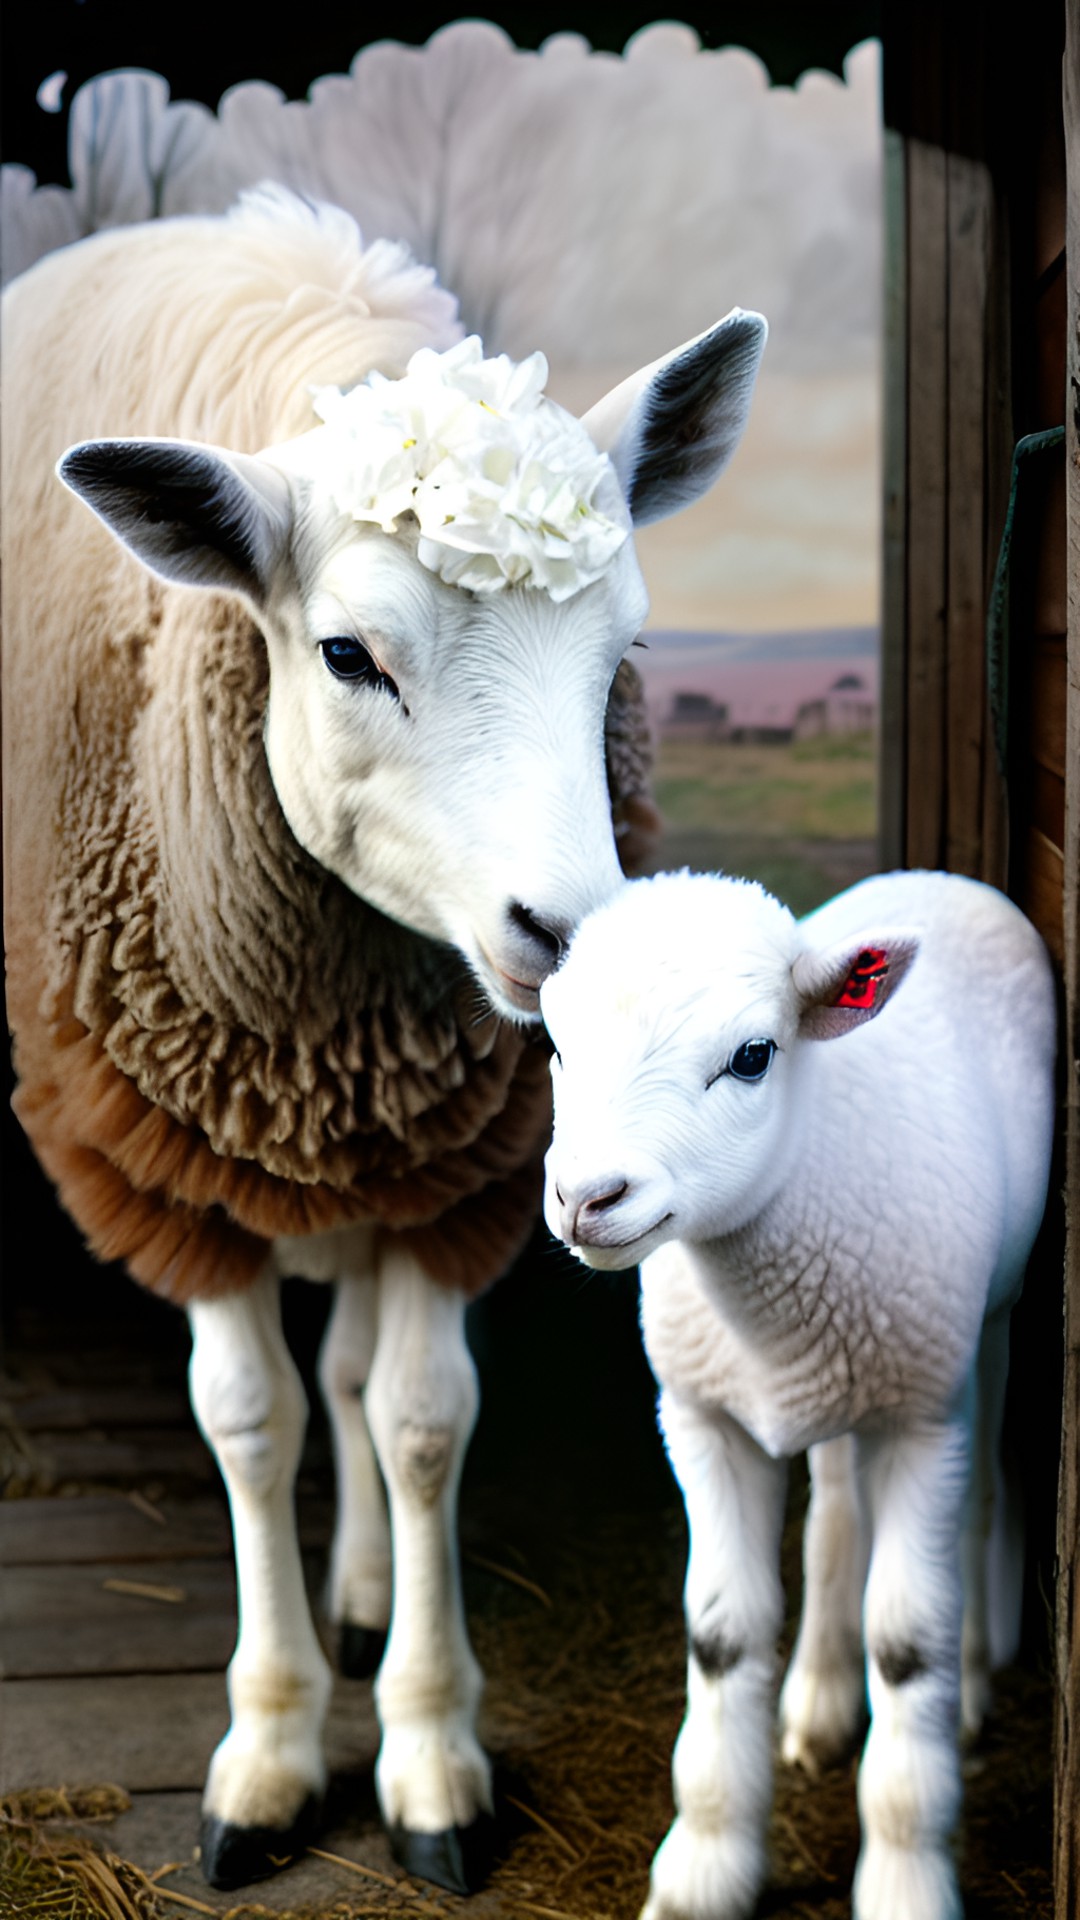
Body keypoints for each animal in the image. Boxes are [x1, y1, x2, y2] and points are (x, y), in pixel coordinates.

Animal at [0, 187, 764, 1896]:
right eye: (349, 656)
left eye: (624, 655)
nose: (576, 945)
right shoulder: (161, 1160)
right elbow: (248, 1424)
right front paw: (272, 1753)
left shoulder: (460, 1167)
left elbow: (417, 1424)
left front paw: (426, 1752)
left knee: (357, 1366)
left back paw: (359, 1592)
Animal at [538, 871, 1053, 1920]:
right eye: (556, 1044)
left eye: (752, 1057)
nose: (585, 1197)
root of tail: (940, 878)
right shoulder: (701, 1416)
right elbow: (722, 1636)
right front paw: (704, 1867)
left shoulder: (920, 1419)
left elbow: (906, 1648)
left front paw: (905, 1881)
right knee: (837, 1511)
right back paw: (818, 1695)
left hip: (977, 1326)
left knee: (979, 1486)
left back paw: (974, 1679)